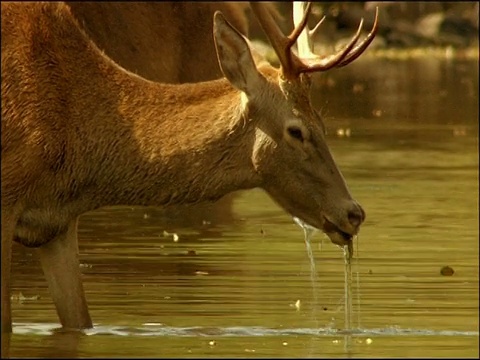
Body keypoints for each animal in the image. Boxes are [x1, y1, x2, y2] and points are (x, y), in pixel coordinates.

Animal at [1, 0, 378, 332]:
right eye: (296, 130)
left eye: (324, 124)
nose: (353, 213)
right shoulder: (7, 199)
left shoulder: (57, 222)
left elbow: (80, 322)